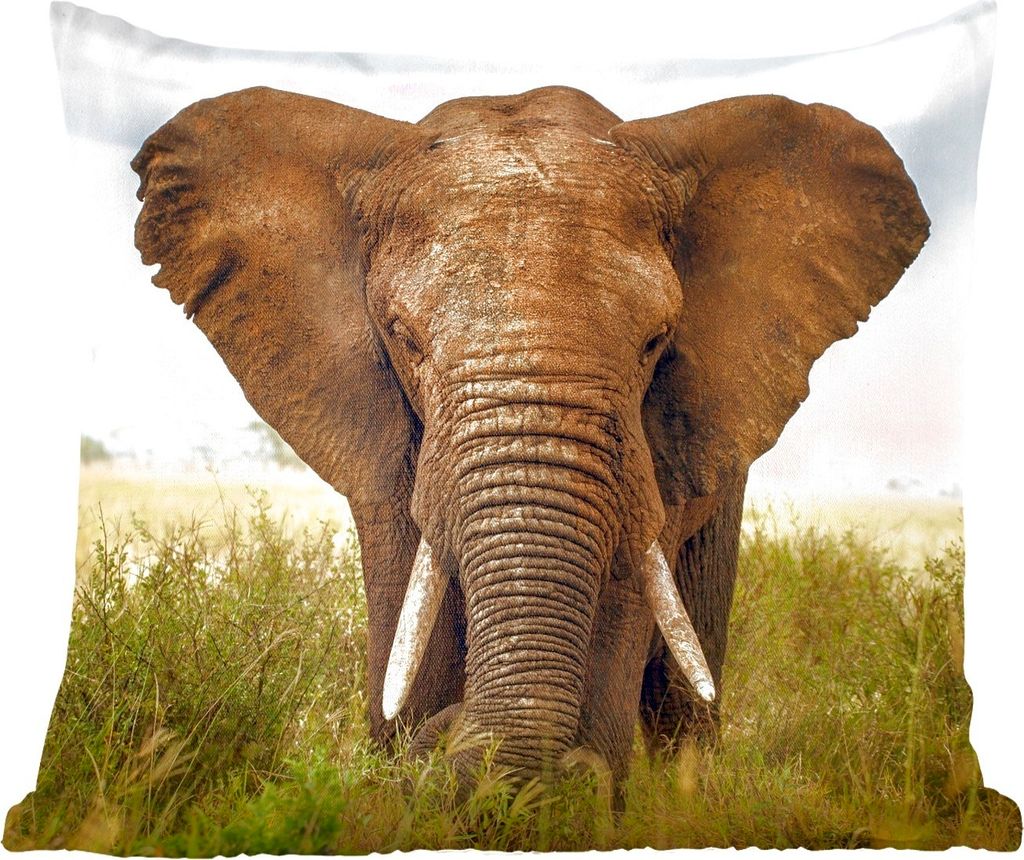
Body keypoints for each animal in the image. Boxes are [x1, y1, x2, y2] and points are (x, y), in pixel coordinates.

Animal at [131, 85, 928, 799]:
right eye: (403, 337)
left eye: (655, 341)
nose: (454, 738)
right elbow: (408, 614)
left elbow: (626, 590)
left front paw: (565, 796)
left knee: (683, 692)